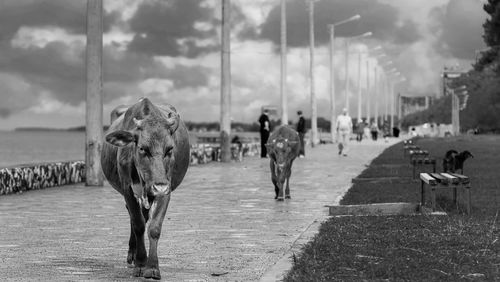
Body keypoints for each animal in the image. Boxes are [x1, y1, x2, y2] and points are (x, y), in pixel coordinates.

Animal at [100, 98, 190, 278]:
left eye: (170, 149)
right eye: (142, 148)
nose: (158, 185)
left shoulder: (166, 189)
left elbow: (154, 227)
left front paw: (152, 266)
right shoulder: (127, 189)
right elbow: (138, 225)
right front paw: (141, 263)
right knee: (133, 217)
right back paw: (132, 254)